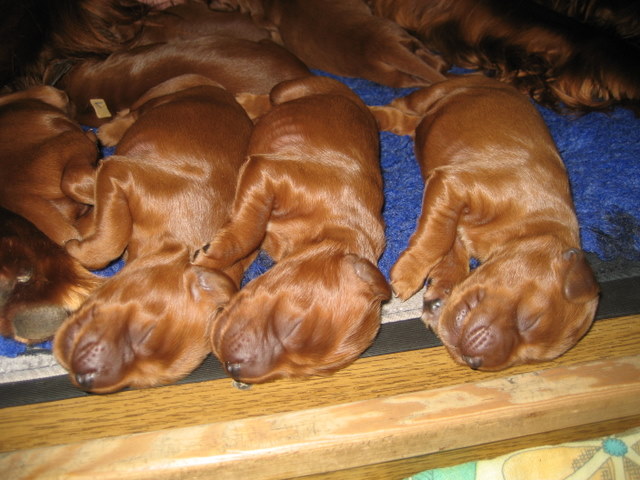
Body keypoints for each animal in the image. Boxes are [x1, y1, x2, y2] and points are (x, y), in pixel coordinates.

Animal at [54, 74, 253, 393]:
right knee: (130, 112)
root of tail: (217, 87)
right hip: (162, 93)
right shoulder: (119, 172)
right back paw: (104, 133)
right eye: (146, 332)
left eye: (136, 383)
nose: (85, 380)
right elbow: (104, 235)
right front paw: (77, 243)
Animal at [192, 76, 391, 384]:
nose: (234, 372)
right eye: (293, 326)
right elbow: (248, 231)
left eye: (300, 373)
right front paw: (212, 256)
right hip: (293, 87)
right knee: (269, 96)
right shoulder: (269, 173)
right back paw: (245, 103)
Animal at [371, 74, 599, 370]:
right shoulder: (454, 184)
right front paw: (409, 274)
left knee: (408, 122)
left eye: (527, 358)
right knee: (400, 105)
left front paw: (442, 289)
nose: (473, 362)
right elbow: (438, 236)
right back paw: (370, 111)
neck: (531, 224)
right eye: (529, 320)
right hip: (434, 92)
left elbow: (451, 247)